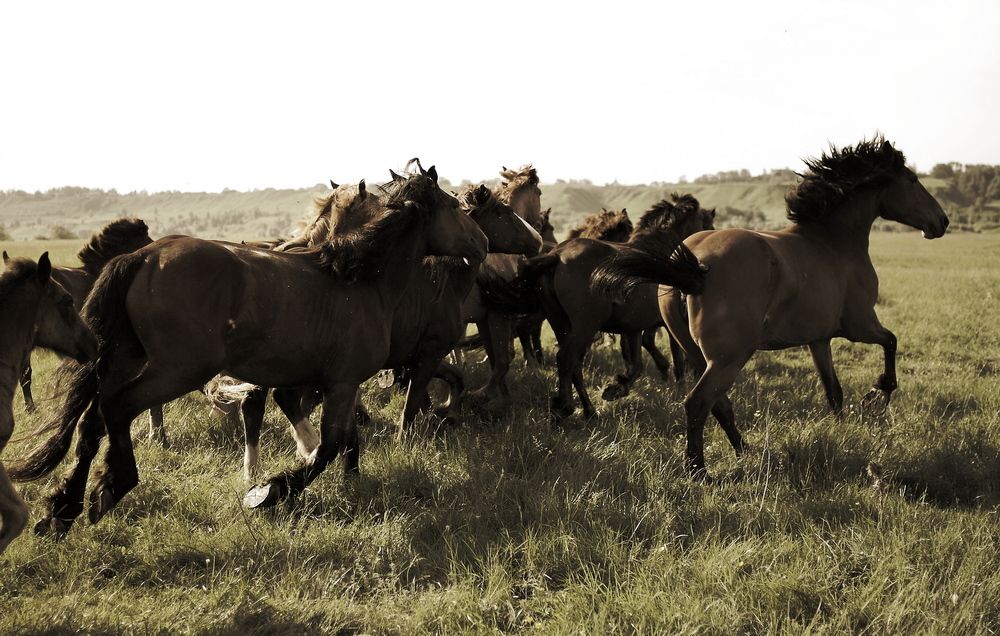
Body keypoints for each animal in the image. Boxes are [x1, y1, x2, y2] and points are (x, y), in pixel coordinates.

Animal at [507, 195, 712, 419]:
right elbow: (675, 358)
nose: (703, 264)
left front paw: (617, 388)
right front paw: (679, 384)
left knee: (571, 362)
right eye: (705, 224)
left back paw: (588, 409)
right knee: (565, 358)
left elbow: (636, 364)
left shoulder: (634, 327)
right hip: (585, 325)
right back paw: (565, 407)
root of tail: (557, 255)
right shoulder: (666, 323)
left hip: (561, 324)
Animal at [592, 136, 949, 477]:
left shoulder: (819, 339)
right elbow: (891, 342)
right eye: (913, 179)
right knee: (698, 403)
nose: (942, 222)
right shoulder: (860, 325)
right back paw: (699, 471)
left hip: (697, 354)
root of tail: (696, 266)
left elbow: (834, 391)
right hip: (729, 357)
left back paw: (744, 451)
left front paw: (843, 429)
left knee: (719, 404)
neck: (832, 244)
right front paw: (877, 396)